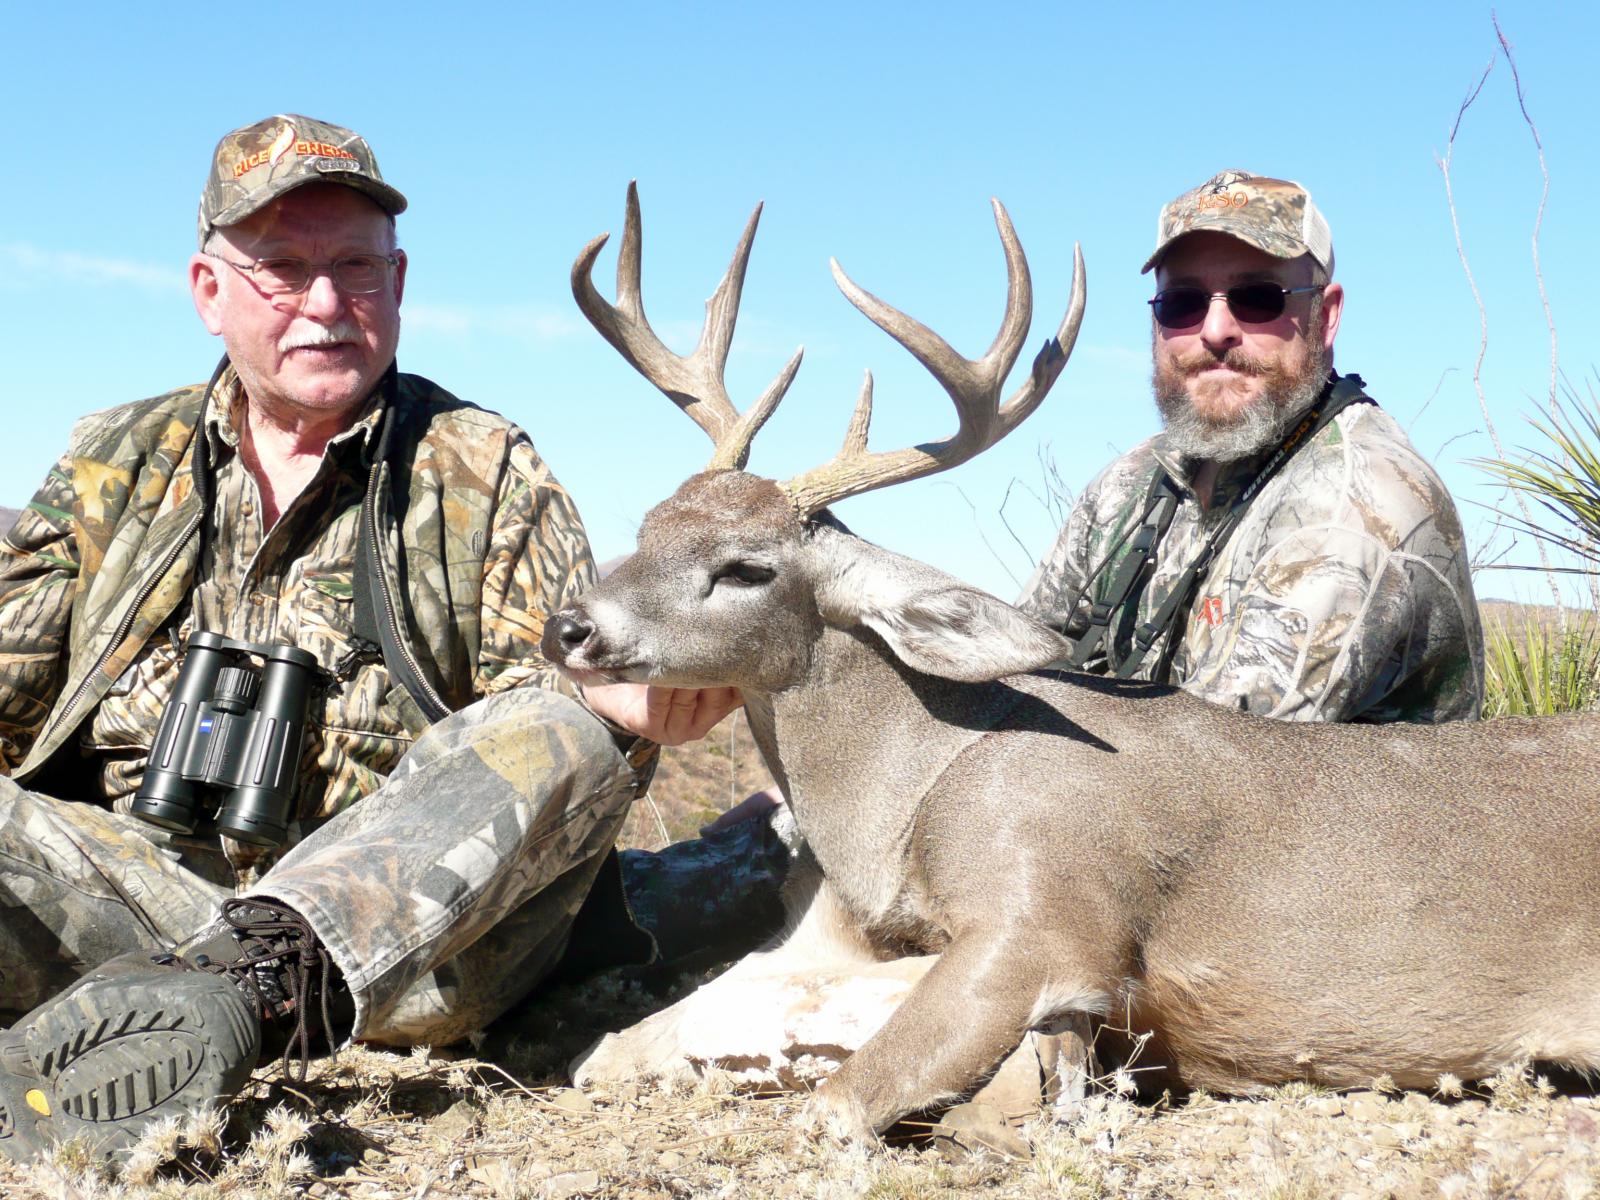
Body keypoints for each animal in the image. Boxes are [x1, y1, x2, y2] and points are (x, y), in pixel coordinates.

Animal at [542, 184, 1600, 1144]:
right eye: (649, 523)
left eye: (747, 568)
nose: (569, 628)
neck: (921, 785)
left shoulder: (1046, 917)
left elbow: (834, 1105)